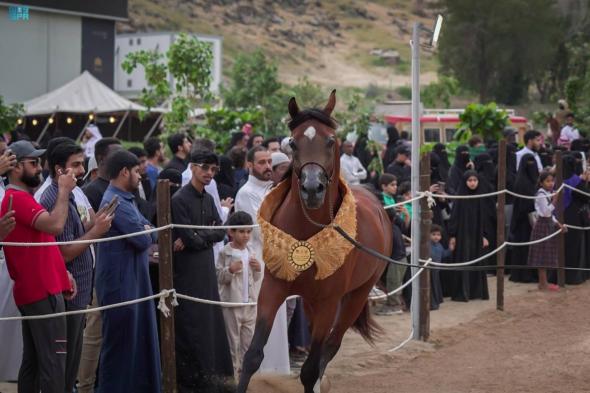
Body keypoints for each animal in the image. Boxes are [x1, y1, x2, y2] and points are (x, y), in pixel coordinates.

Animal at [238, 90, 396, 390]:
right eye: (292, 143)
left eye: (331, 140)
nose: (313, 189)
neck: (306, 232)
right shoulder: (273, 288)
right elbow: (252, 356)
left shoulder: (329, 302)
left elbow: (311, 368)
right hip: (311, 302)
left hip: (356, 296)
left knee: (329, 348)